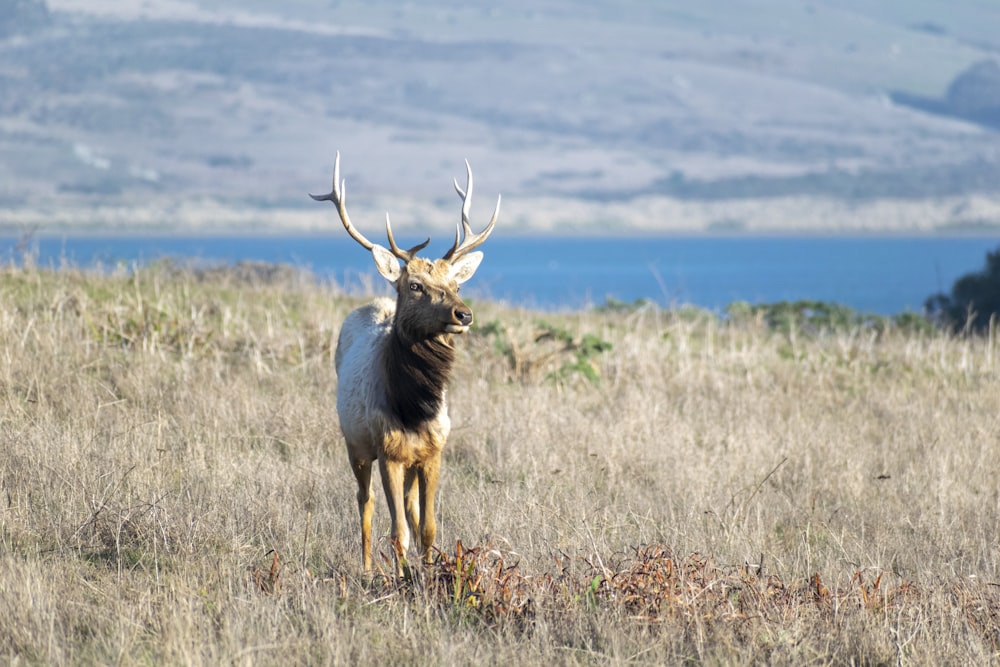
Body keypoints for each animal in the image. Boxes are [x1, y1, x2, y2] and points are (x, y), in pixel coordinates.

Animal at [308, 153, 500, 576]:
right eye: (415, 286)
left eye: (456, 285)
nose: (464, 314)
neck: (414, 410)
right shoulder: (388, 450)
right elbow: (398, 531)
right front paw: (400, 577)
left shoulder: (432, 452)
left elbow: (426, 526)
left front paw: (429, 572)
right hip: (355, 444)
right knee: (365, 504)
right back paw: (366, 567)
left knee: (409, 508)